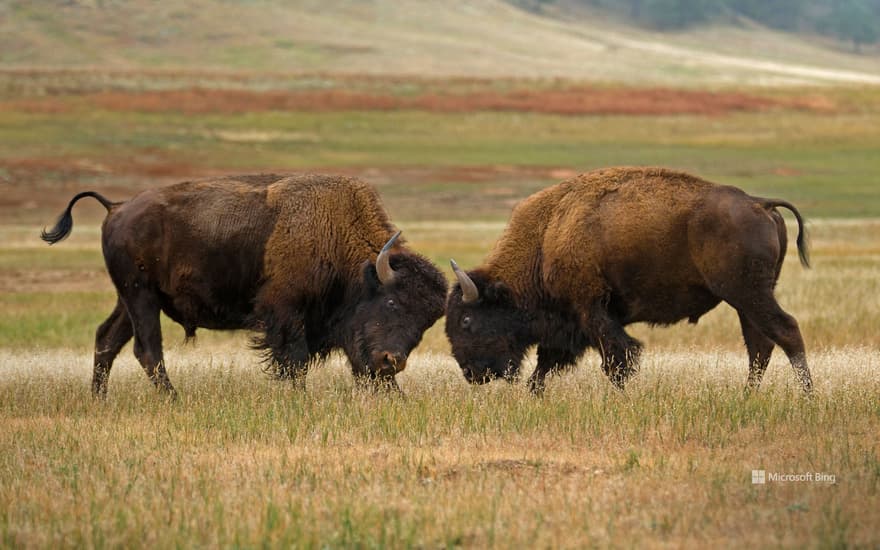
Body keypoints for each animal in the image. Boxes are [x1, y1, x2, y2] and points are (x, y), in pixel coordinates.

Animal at [42, 175, 450, 394]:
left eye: (426, 323)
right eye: (393, 303)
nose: (392, 362)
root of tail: (116, 207)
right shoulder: (285, 313)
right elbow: (294, 361)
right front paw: (297, 397)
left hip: (131, 299)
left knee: (107, 340)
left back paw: (100, 399)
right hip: (139, 295)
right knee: (147, 350)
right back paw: (173, 399)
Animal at [450, 168, 816, 396]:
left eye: (466, 320)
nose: (471, 372)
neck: (546, 237)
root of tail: (759, 202)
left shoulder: (591, 310)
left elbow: (617, 359)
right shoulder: (570, 324)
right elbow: (547, 364)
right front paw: (534, 395)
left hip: (747, 292)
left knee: (785, 331)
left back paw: (808, 397)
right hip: (747, 297)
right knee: (760, 344)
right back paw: (747, 396)